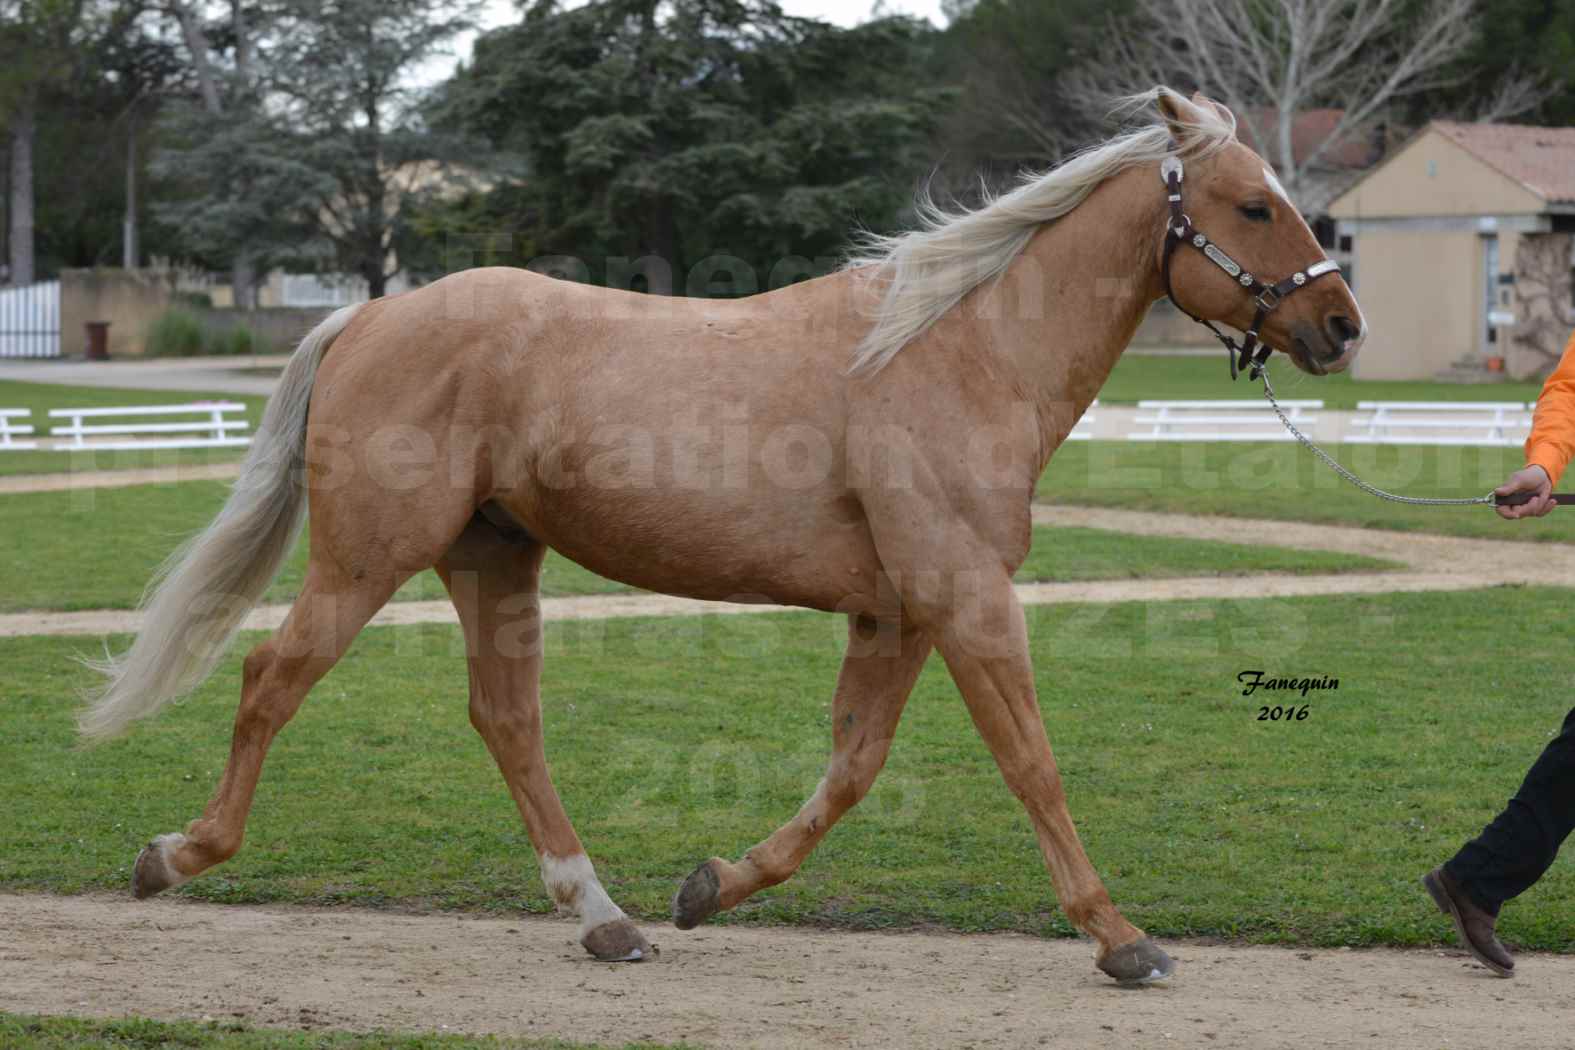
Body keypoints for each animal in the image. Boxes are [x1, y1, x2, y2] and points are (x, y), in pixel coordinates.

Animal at [89, 90, 1367, 988]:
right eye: (1254, 203)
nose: (1341, 324)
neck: (953, 354)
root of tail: (372, 313)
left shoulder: (899, 613)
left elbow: (853, 769)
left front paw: (712, 885)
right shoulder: (966, 597)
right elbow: (1031, 763)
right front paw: (1120, 936)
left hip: (493, 559)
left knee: (506, 720)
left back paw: (607, 920)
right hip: (367, 560)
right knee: (271, 678)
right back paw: (176, 856)